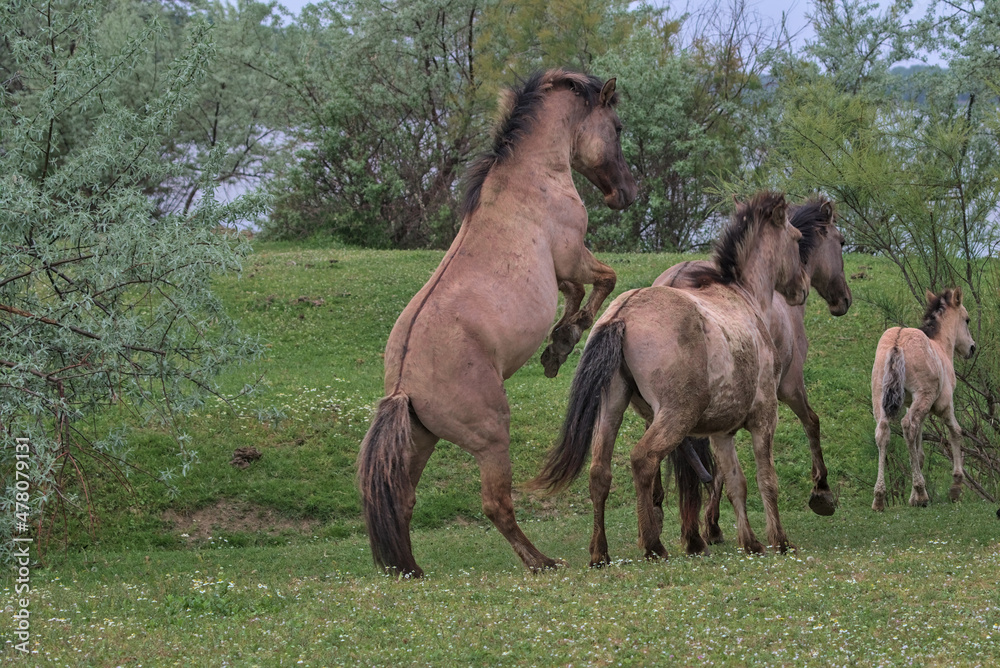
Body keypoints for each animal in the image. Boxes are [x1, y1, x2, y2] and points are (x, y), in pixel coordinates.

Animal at [357, 69, 637, 577]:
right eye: (618, 127)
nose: (626, 194)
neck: (530, 177)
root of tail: (404, 387)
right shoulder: (572, 255)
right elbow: (603, 281)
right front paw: (560, 344)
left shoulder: (564, 270)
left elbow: (577, 294)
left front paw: (557, 345)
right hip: (491, 437)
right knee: (496, 505)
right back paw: (541, 561)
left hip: (421, 440)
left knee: (403, 499)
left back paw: (413, 569)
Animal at [531, 191, 810, 565]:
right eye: (796, 238)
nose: (802, 289)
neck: (741, 298)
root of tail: (623, 313)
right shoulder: (764, 416)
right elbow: (766, 480)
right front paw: (779, 540)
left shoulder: (721, 433)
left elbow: (736, 484)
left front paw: (750, 542)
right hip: (676, 415)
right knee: (643, 460)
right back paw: (653, 544)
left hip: (612, 408)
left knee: (600, 471)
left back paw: (600, 552)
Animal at [661, 196, 852, 554]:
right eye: (842, 241)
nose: (844, 300)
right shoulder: (788, 388)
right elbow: (812, 423)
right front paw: (821, 491)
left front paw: (714, 525)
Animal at [871, 288, 975, 511]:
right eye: (967, 320)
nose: (972, 348)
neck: (940, 347)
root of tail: (897, 344)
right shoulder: (944, 405)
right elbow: (956, 432)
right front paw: (956, 486)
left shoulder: (913, 405)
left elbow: (918, 453)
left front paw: (911, 498)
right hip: (923, 396)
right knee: (908, 426)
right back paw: (921, 493)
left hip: (880, 397)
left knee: (883, 432)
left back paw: (879, 498)